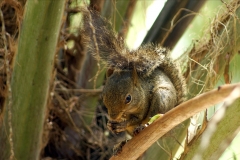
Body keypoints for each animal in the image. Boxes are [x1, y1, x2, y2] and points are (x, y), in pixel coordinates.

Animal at [80, 7, 186, 136]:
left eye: (128, 98)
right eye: (103, 95)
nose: (113, 116)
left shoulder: (143, 106)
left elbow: (137, 118)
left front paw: (123, 123)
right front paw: (110, 125)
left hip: (162, 98)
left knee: (153, 117)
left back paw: (143, 126)